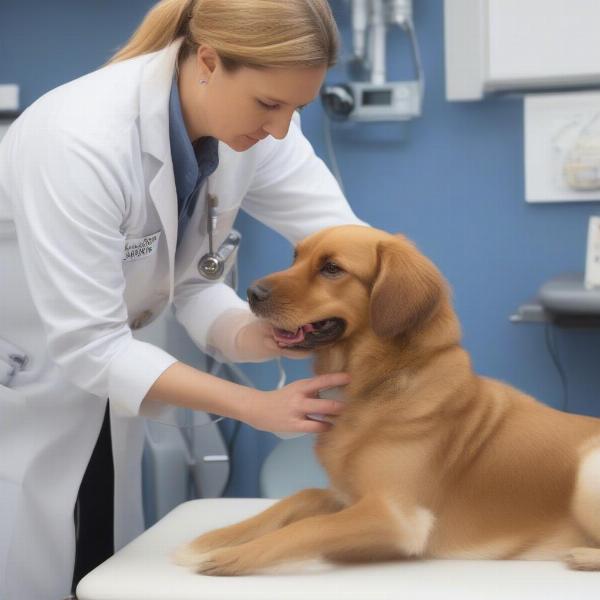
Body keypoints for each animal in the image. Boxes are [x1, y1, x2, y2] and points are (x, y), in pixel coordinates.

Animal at [173, 225, 600, 576]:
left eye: (332, 268)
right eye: (296, 257)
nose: (252, 292)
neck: (376, 385)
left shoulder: (397, 517)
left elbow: (310, 526)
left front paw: (231, 556)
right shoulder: (348, 495)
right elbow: (296, 499)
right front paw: (215, 539)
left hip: (587, 472)